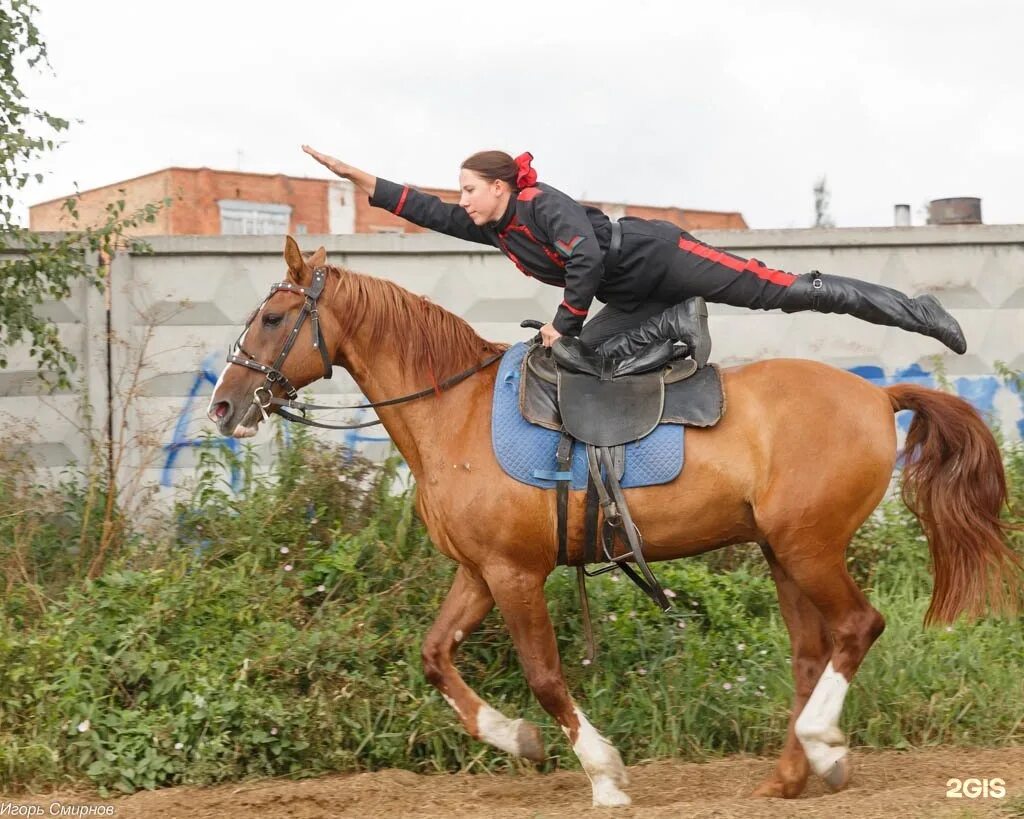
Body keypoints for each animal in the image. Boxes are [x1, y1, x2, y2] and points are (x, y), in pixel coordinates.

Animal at [205, 239, 1015, 810]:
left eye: (273, 319)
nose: (222, 405)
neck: (454, 410)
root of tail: (879, 396)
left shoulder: (514, 574)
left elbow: (545, 676)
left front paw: (604, 775)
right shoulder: (478, 572)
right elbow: (434, 656)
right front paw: (520, 741)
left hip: (808, 546)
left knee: (857, 627)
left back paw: (820, 745)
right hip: (783, 552)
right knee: (812, 651)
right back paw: (793, 774)